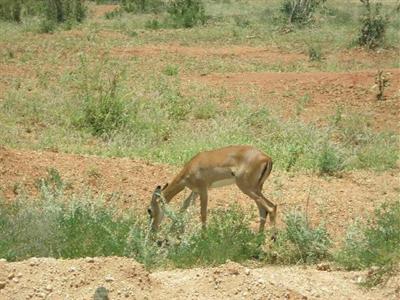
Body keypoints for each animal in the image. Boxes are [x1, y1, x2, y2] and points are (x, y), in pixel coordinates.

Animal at [148, 145, 276, 232]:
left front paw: (203, 237)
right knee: (264, 210)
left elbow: (203, 213)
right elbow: (184, 207)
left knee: (271, 207)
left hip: (247, 188)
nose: (152, 229)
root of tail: (267, 158)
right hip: (256, 189)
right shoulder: (195, 191)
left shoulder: (203, 190)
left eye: (149, 210)